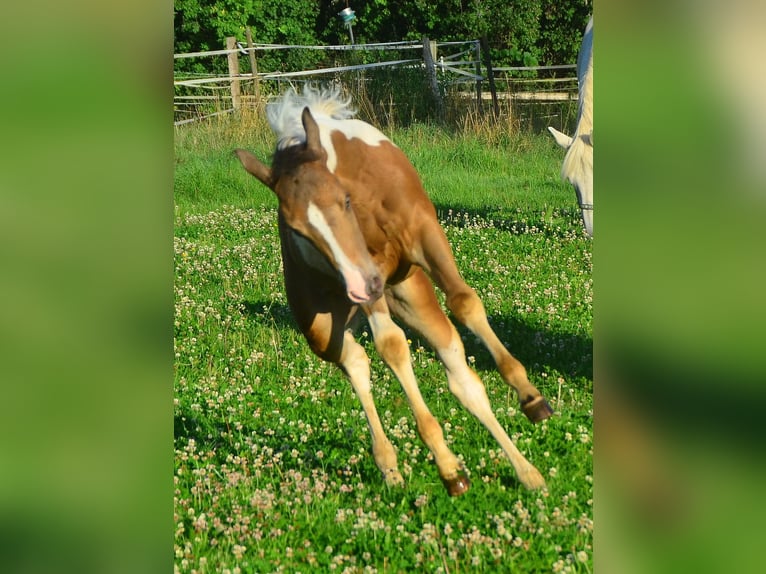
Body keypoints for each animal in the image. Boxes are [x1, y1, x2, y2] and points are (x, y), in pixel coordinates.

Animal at [237, 86, 556, 496]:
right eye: (295, 229)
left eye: (343, 199)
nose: (364, 285)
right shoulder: (362, 283)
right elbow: (390, 346)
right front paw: (444, 461)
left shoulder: (423, 233)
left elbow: (465, 304)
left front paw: (530, 396)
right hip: (326, 327)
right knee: (358, 363)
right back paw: (411, 465)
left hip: (409, 293)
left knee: (461, 375)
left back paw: (525, 470)